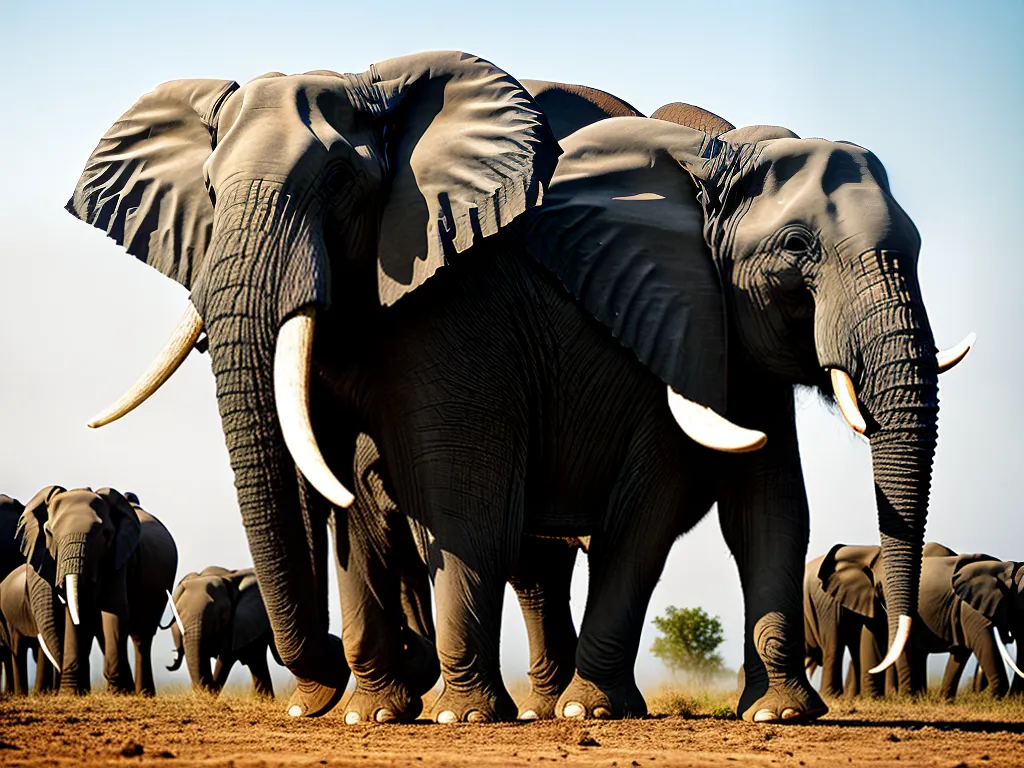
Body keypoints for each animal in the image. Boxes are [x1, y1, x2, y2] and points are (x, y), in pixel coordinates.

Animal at [0, 564, 61, 694]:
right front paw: (21, 695)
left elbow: (42, 649)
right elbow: (17, 648)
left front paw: (40, 694)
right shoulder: (13, 616)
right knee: (9, 654)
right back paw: (11, 693)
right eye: (32, 609)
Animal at [16, 486, 178, 694]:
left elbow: (115, 611)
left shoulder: (118, 557)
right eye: (49, 532)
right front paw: (71, 693)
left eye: (106, 534)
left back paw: (142, 694)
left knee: (142, 636)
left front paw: (118, 693)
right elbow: (80, 612)